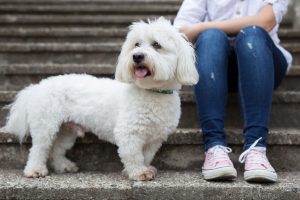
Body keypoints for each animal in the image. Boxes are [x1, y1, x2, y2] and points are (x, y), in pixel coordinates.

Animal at [0, 17, 199, 181]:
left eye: (157, 45)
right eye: (136, 45)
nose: (137, 56)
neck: (152, 92)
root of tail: (37, 87)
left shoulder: (155, 137)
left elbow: (147, 155)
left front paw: (144, 168)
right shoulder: (128, 133)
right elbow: (134, 155)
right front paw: (138, 172)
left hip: (67, 130)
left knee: (57, 149)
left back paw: (64, 165)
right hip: (45, 124)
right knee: (39, 148)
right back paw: (34, 170)